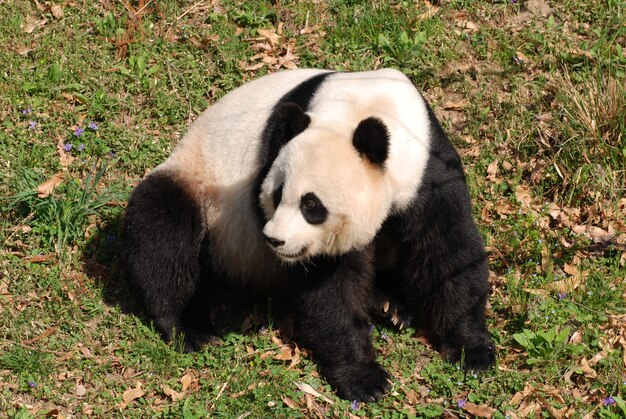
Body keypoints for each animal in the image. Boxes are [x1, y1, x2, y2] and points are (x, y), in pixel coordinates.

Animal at [120, 69, 492, 404]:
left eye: (311, 205)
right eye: (276, 194)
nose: (274, 240)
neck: (365, 108)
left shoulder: (429, 169)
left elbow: (448, 253)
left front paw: (472, 350)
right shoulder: (277, 150)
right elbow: (328, 287)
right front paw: (365, 379)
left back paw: (390, 306)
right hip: (199, 184)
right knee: (162, 231)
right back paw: (187, 328)